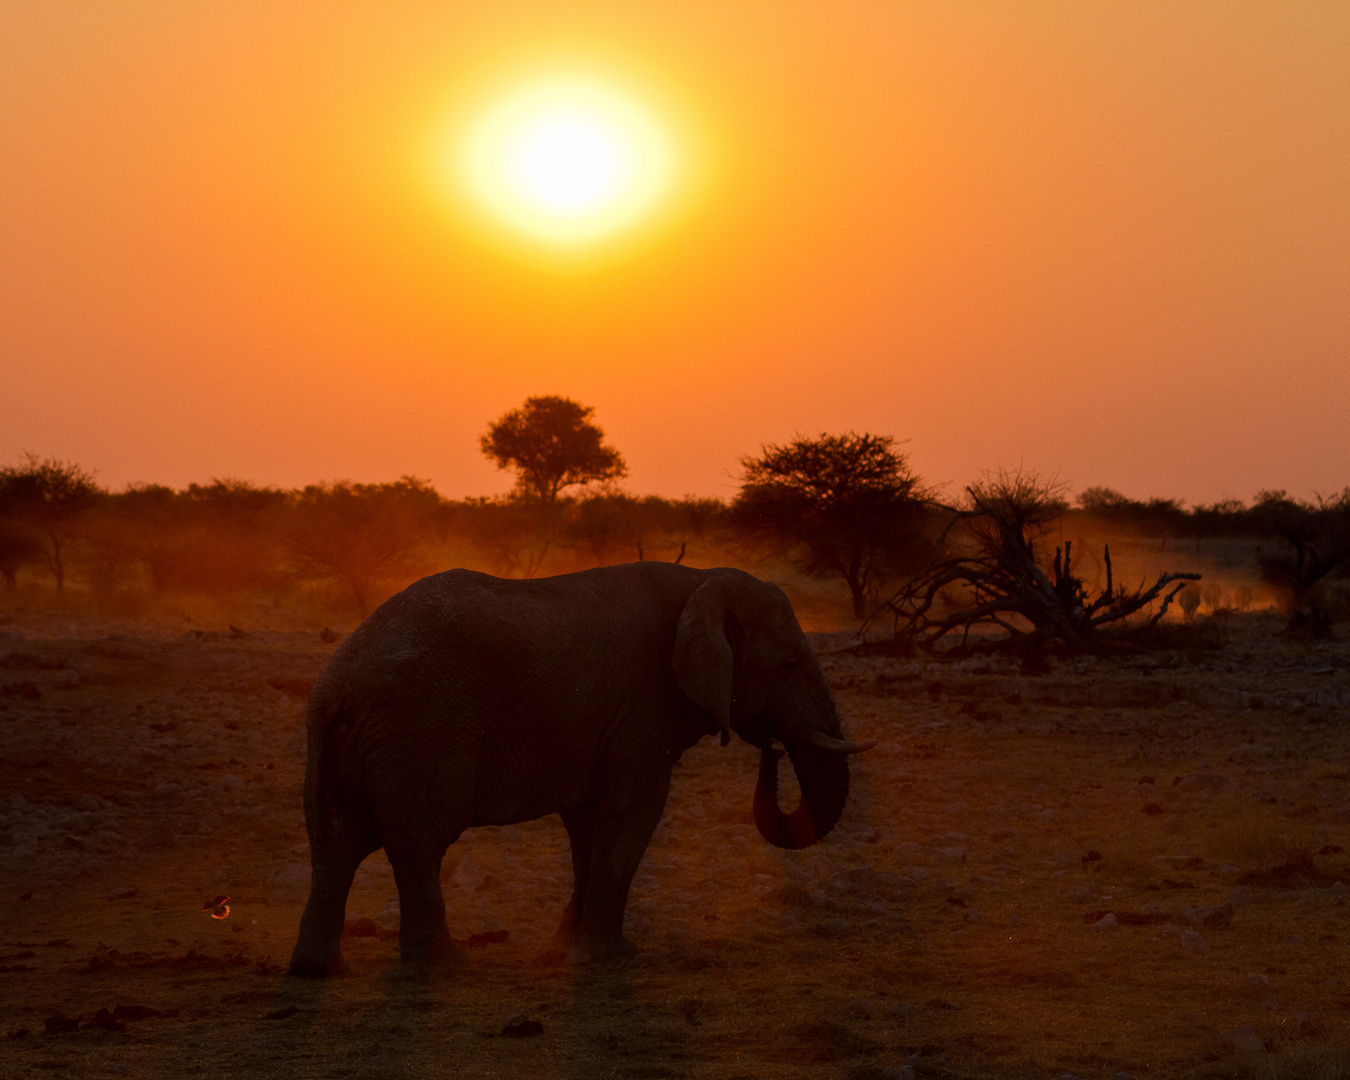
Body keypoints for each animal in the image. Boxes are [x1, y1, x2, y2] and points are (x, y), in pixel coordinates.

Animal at [288, 561, 869, 972]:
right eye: (787, 666)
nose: (772, 748)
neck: (702, 581)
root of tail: (334, 688)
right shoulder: (644, 705)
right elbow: (632, 813)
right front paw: (611, 958)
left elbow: (589, 825)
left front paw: (564, 953)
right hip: (417, 735)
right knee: (418, 846)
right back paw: (447, 968)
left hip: (336, 747)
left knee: (334, 847)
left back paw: (320, 970)